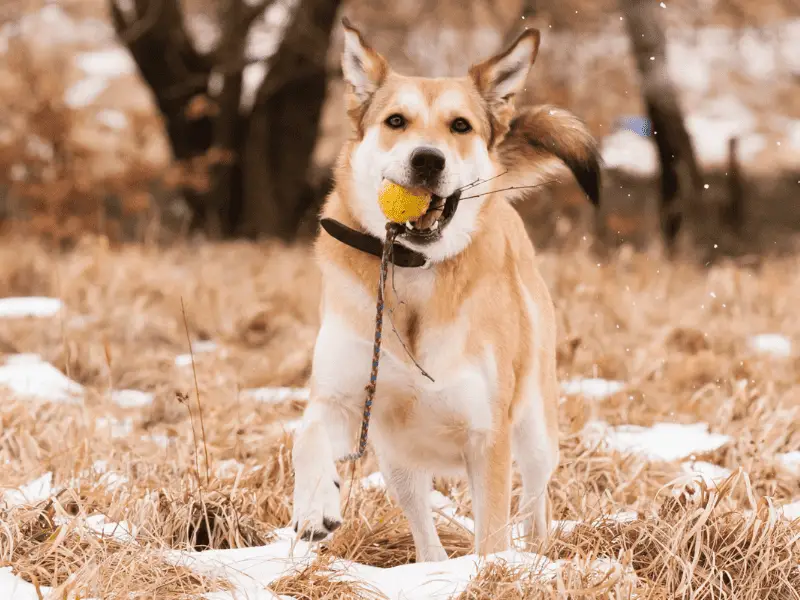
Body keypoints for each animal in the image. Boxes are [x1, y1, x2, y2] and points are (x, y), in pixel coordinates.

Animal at [290, 18, 600, 564]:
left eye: (460, 126)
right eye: (396, 121)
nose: (427, 160)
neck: (414, 269)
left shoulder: (487, 434)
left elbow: (492, 534)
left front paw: (493, 571)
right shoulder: (344, 398)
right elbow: (307, 433)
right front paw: (313, 505)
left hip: (536, 430)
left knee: (534, 501)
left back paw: (537, 550)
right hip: (399, 461)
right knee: (424, 528)